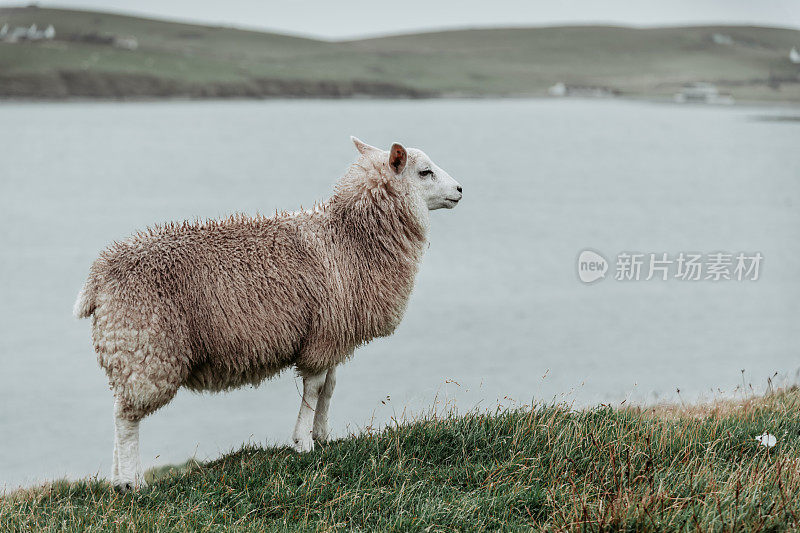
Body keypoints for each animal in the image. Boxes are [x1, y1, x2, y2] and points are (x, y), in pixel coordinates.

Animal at [76, 136, 462, 490]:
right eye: (424, 172)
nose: (460, 189)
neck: (350, 237)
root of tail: (99, 277)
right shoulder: (322, 334)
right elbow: (314, 388)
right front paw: (303, 442)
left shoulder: (333, 334)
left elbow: (330, 388)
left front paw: (323, 435)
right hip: (146, 349)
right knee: (126, 417)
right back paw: (132, 483)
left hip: (129, 351)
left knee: (119, 411)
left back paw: (118, 478)